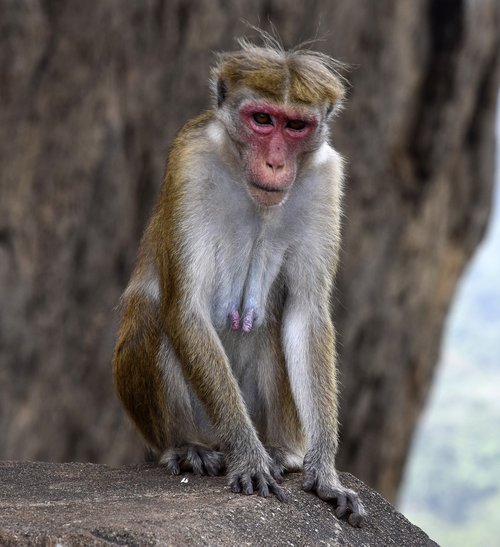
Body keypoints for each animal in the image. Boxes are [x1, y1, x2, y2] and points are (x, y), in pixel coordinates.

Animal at [112, 35, 364, 528]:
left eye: (296, 126)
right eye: (262, 120)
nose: (275, 163)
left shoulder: (326, 177)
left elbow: (305, 313)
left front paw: (325, 472)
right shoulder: (189, 161)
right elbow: (184, 308)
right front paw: (248, 457)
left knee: (274, 323)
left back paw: (283, 451)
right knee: (153, 315)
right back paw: (189, 448)